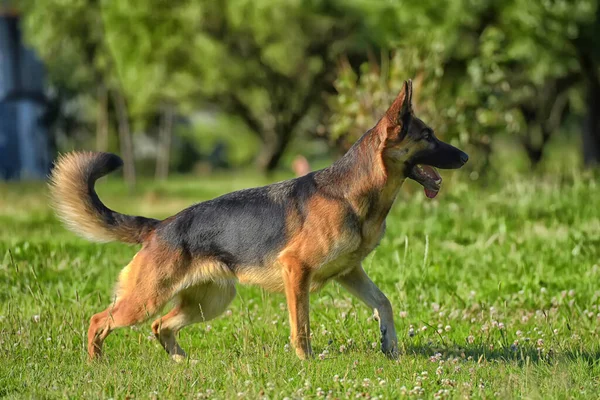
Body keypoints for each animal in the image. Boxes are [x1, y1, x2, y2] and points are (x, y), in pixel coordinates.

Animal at [49, 79, 466, 360]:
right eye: (428, 136)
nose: (464, 157)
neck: (353, 191)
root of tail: (159, 226)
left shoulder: (350, 273)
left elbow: (385, 303)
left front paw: (389, 344)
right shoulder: (296, 272)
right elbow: (302, 326)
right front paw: (306, 363)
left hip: (211, 302)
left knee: (159, 326)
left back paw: (181, 361)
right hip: (145, 299)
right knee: (99, 320)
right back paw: (96, 363)